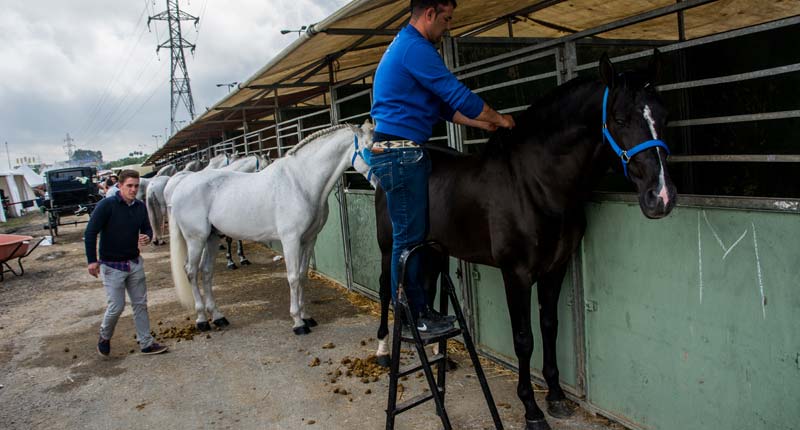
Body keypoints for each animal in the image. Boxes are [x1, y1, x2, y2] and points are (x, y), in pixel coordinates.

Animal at [170, 121, 376, 332]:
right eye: (370, 149)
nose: (379, 183)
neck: (300, 183)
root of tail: (182, 185)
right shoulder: (290, 240)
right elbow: (293, 277)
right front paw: (298, 322)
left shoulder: (309, 239)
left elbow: (302, 276)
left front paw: (307, 316)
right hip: (196, 239)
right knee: (191, 271)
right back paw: (202, 320)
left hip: (211, 237)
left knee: (206, 272)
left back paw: (219, 317)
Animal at [376, 53, 676, 430]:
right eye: (620, 119)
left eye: (664, 116)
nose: (661, 197)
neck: (536, 185)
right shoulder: (516, 274)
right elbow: (524, 339)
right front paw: (531, 409)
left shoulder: (555, 268)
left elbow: (549, 327)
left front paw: (557, 396)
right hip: (390, 248)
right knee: (387, 289)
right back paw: (383, 352)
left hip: (431, 251)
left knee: (425, 289)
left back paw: (436, 349)